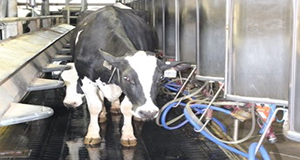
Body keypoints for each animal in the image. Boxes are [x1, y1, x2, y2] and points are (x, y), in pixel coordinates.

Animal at [65, 3, 185, 147]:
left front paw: (128, 135)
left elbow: (127, 108)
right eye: (127, 78)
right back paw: (103, 114)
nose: (148, 112)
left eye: (160, 79)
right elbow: (94, 106)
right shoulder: (86, 79)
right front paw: (93, 134)